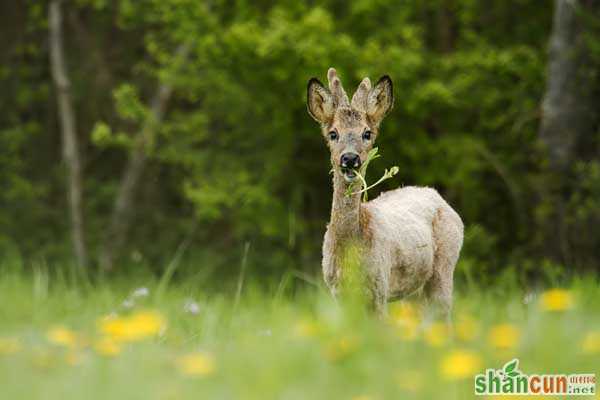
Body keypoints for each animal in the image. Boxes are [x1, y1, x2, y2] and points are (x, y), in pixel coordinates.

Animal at [308, 69, 462, 318]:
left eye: (367, 133)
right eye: (333, 133)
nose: (349, 159)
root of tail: (437, 196)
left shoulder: (379, 285)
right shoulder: (337, 290)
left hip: (445, 265)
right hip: (414, 289)